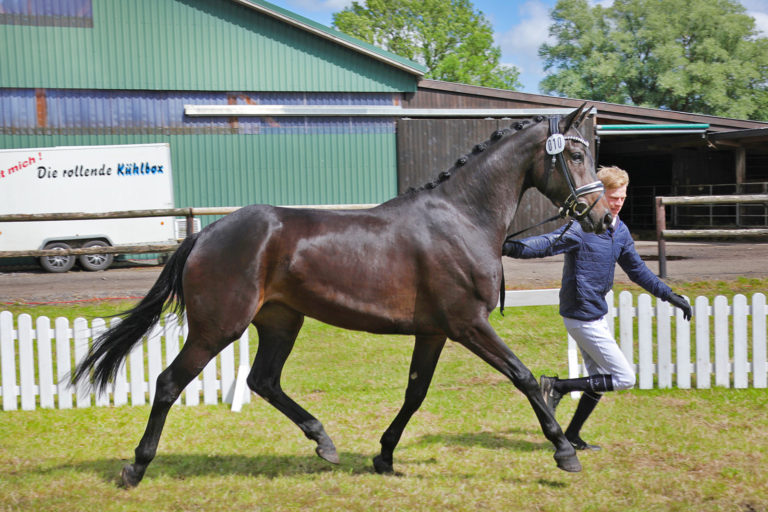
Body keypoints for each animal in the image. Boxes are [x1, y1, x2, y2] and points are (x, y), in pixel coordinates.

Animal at [73, 105, 612, 488]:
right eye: (576, 156)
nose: (602, 217)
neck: (462, 219)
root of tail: (205, 234)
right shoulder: (468, 325)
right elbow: (522, 376)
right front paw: (564, 452)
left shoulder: (434, 333)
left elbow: (415, 393)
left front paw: (384, 456)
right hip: (217, 328)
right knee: (169, 383)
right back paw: (135, 468)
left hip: (281, 322)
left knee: (263, 380)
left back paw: (324, 442)